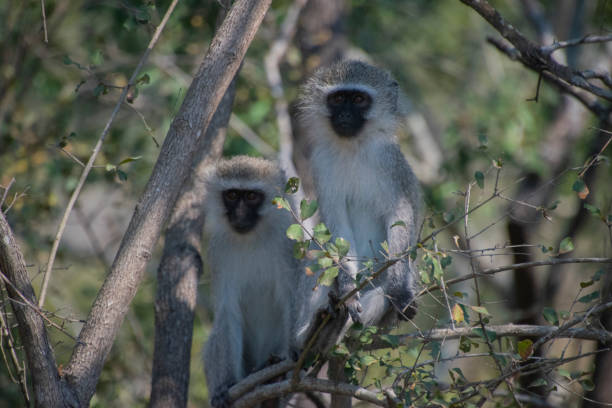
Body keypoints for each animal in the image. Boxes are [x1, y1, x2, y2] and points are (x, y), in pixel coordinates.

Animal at [203, 156, 298, 408]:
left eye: (252, 197)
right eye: (233, 195)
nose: (239, 215)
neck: (252, 238)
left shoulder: (287, 239)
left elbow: (292, 295)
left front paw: (290, 356)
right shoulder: (219, 250)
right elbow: (227, 312)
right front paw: (225, 384)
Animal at [298, 60, 424, 334]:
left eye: (358, 99)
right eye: (337, 99)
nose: (345, 116)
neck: (353, 147)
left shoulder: (387, 158)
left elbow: (400, 213)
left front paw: (399, 292)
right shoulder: (321, 161)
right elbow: (337, 223)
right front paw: (347, 292)